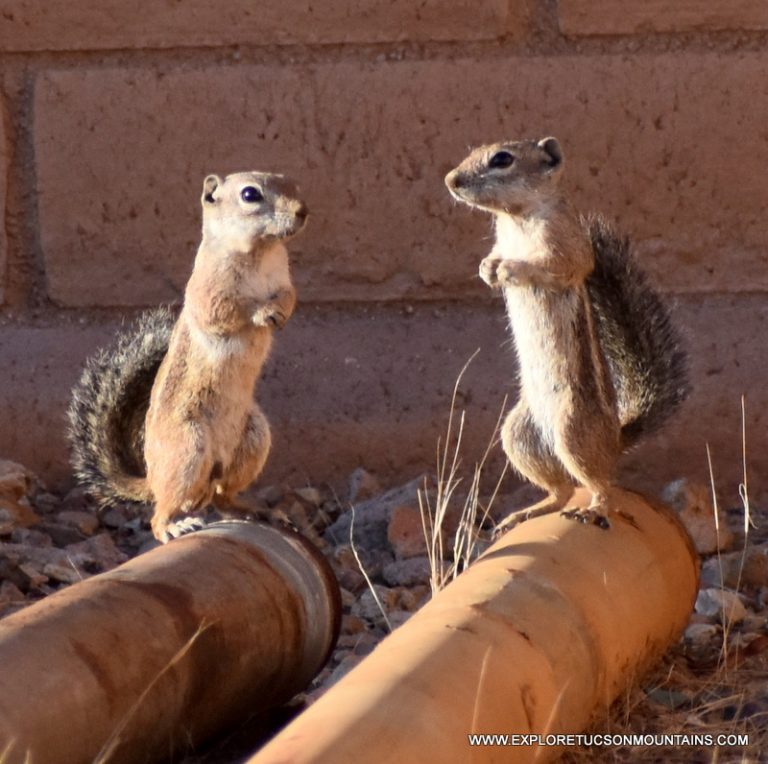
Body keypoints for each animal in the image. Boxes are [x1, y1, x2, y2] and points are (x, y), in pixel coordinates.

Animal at [68, 173, 308, 544]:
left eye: (292, 183)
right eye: (250, 194)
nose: (302, 211)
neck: (260, 252)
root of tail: (151, 476)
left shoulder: (283, 278)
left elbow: (289, 296)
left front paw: (279, 311)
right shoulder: (207, 291)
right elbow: (224, 311)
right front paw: (262, 312)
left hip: (252, 439)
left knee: (223, 497)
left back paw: (258, 510)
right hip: (187, 451)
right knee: (161, 512)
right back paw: (174, 526)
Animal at [444, 137, 688, 528]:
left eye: (502, 159)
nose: (451, 180)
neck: (515, 218)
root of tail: (614, 440)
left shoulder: (565, 245)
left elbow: (557, 267)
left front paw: (510, 269)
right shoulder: (501, 239)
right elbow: (493, 255)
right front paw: (487, 268)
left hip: (573, 430)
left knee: (600, 485)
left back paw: (592, 509)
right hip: (518, 435)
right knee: (560, 491)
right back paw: (525, 513)